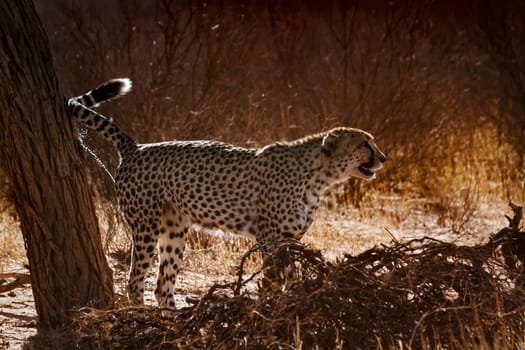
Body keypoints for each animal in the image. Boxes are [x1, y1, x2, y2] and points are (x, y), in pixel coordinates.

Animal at [68, 78, 384, 308]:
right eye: (364, 144)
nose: (383, 158)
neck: (319, 176)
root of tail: (136, 147)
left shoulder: (288, 239)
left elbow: (290, 276)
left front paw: (293, 298)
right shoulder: (269, 237)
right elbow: (273, 277)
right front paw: (273, 304)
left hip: (174, 229)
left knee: (162, 285)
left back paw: (171, 319)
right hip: (145, 225)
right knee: (136, 281)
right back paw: (144, 316)